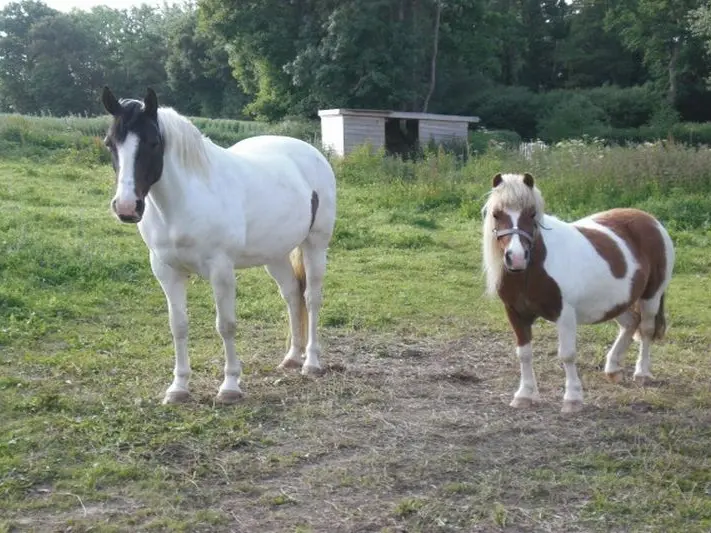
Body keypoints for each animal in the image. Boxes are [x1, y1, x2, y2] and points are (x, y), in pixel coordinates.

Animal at [100, 87, 336, 404]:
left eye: (153, 142)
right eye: (110, 143)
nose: (126, 207)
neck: (186, 199)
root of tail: (312, 153)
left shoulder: (221, 270)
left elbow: (226, 325)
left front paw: (230, 386)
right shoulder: (166, 271)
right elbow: (178, 326)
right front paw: (178, 387)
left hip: (315, 245)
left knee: (311, 298)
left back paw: (310, 362)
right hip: (275, 255)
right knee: (291, 295)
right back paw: (292, 357)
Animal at [482, 172, 676, 414]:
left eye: (532, 213)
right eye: (496, 214)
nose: (516, 258)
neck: (532, 270)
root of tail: (651, 221)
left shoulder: (564, 314)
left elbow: (567, 355)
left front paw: (572, 398)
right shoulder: (516, 314)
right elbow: (524, 354)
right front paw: (524, 395)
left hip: (651, 295)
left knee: (647, 329)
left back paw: (641, 373)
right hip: (617, 301)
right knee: (631, 323)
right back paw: (613, 368)